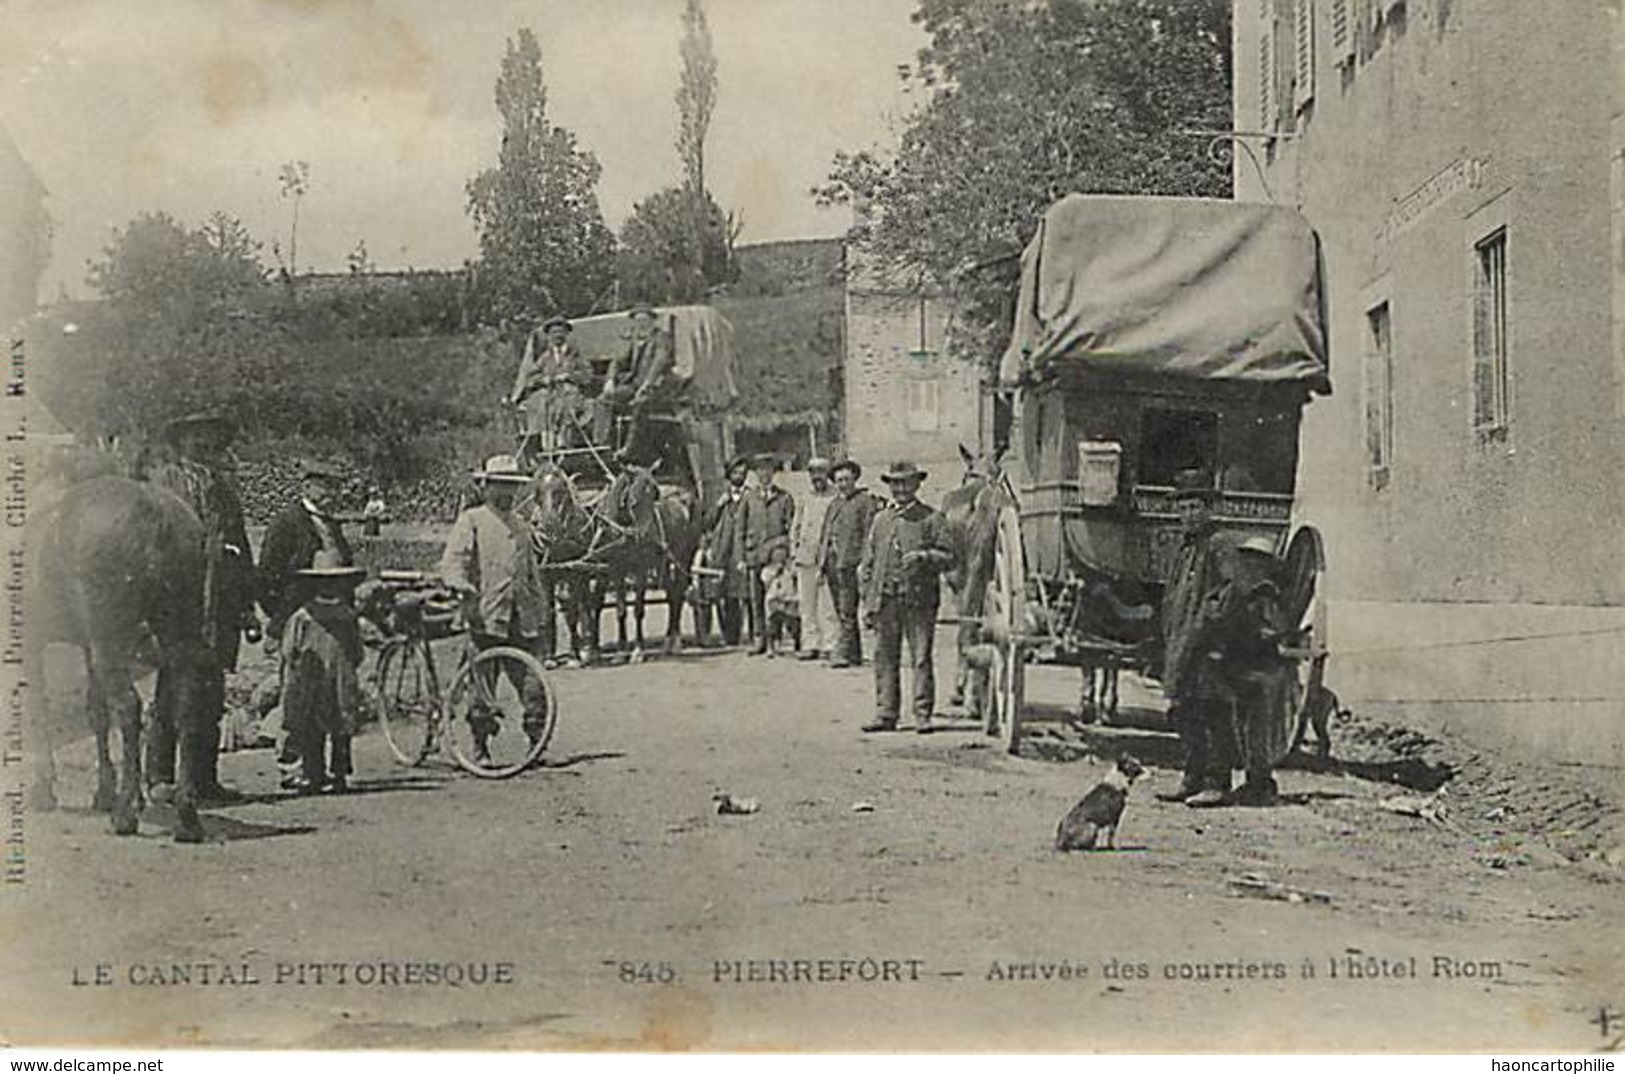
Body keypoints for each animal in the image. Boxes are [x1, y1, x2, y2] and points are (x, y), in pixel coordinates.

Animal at [25, 474, 217, 844]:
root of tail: (155, 512)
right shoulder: (90, 646)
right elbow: (96, 712)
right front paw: (104, 791)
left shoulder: (31, 640)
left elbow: (39, 709)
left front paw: (43, 789)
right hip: (176, 629)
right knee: (186, 705)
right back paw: (186, 816)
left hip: (112, 638)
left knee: (129, 707)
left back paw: (126, 813)